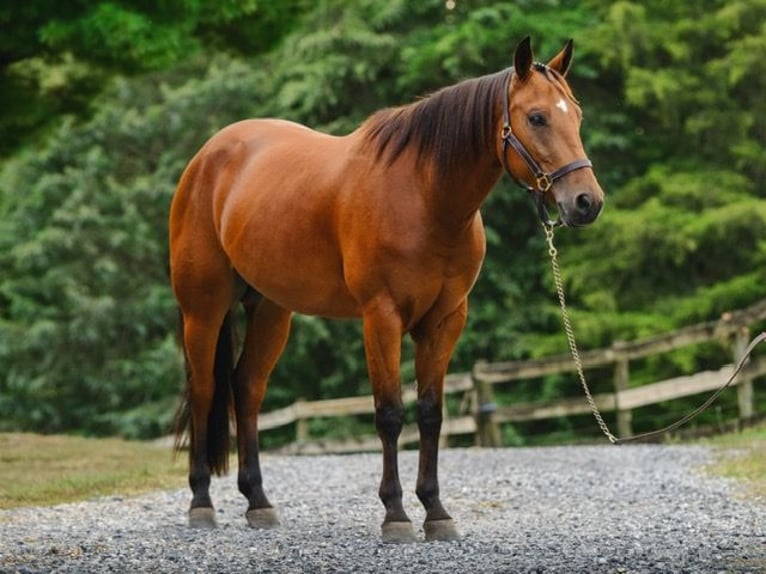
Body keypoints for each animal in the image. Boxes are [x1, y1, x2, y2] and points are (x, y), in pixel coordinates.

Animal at [169, 36, 604, 543]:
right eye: (536, 117)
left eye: (577, 115)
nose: (586, 202)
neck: (424, 197)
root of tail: (208, 156)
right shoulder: (382, 317)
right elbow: (390, 413)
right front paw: (395, 514)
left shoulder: (445, 320)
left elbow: (431, 413)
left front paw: (436, 511)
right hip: (204, 307)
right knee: (205, 389)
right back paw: (201, 501)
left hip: (271, 311)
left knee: (247, 388)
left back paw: (258, 501)